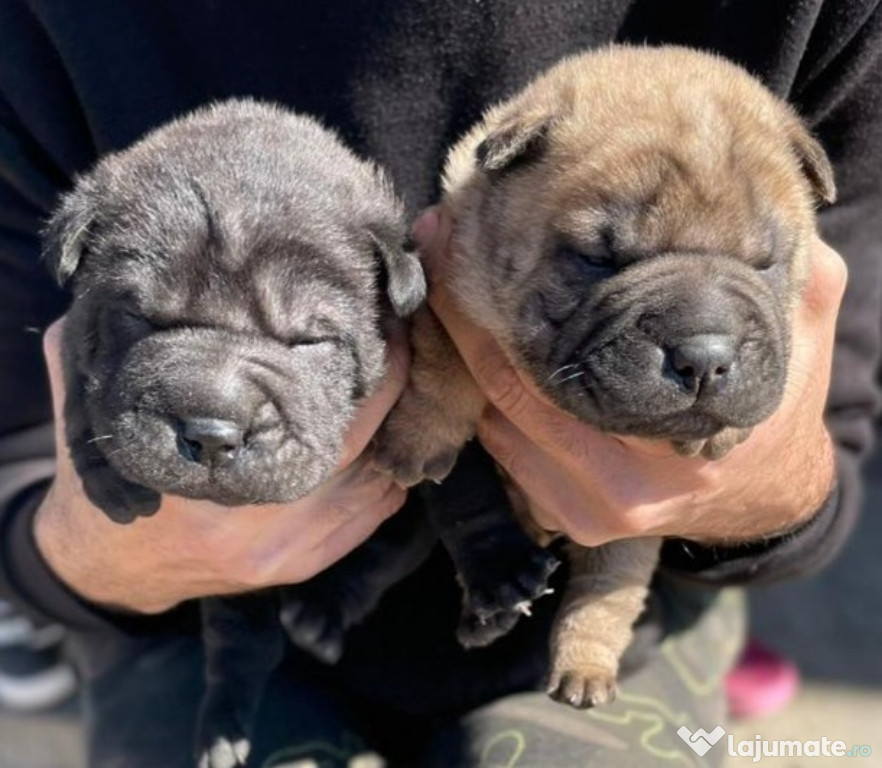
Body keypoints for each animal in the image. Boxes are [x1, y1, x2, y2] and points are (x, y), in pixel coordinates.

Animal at [44, 99, 430, 764]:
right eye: (140, 317)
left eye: (308, 341)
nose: (212, 432)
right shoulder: (72, 339)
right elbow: (78, 393)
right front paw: (108, 480)